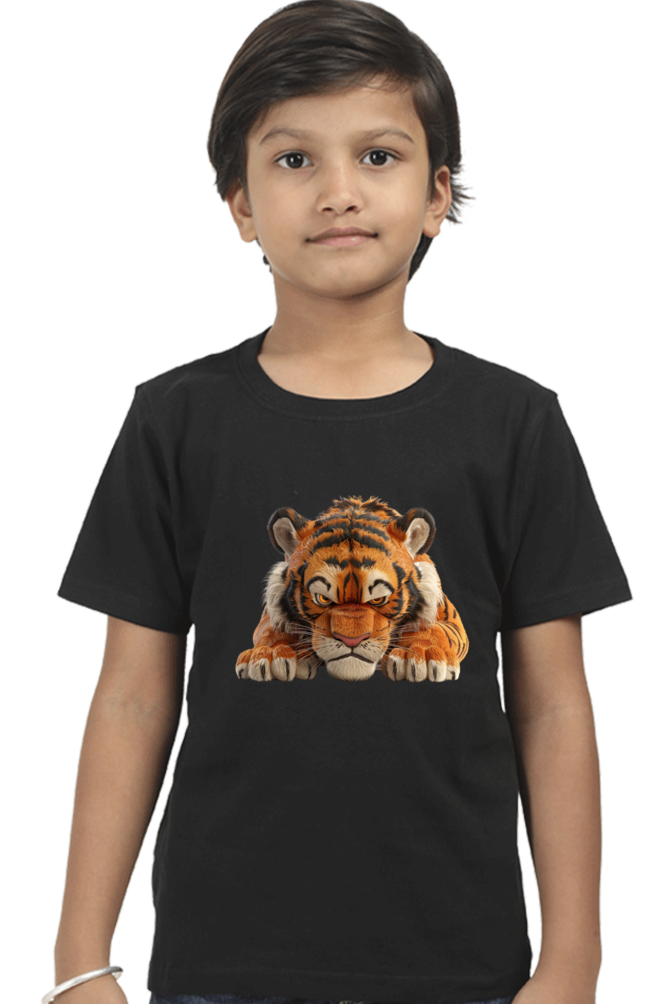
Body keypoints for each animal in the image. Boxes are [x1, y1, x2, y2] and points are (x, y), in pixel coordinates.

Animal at [236, 495, 469, 683]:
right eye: (322, 598)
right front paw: (270, 654)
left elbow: (435, 629)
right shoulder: (267, 616)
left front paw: (420, 655)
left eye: (378, 599)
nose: (351, 640)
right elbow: (272, 630)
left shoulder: (451, 619)